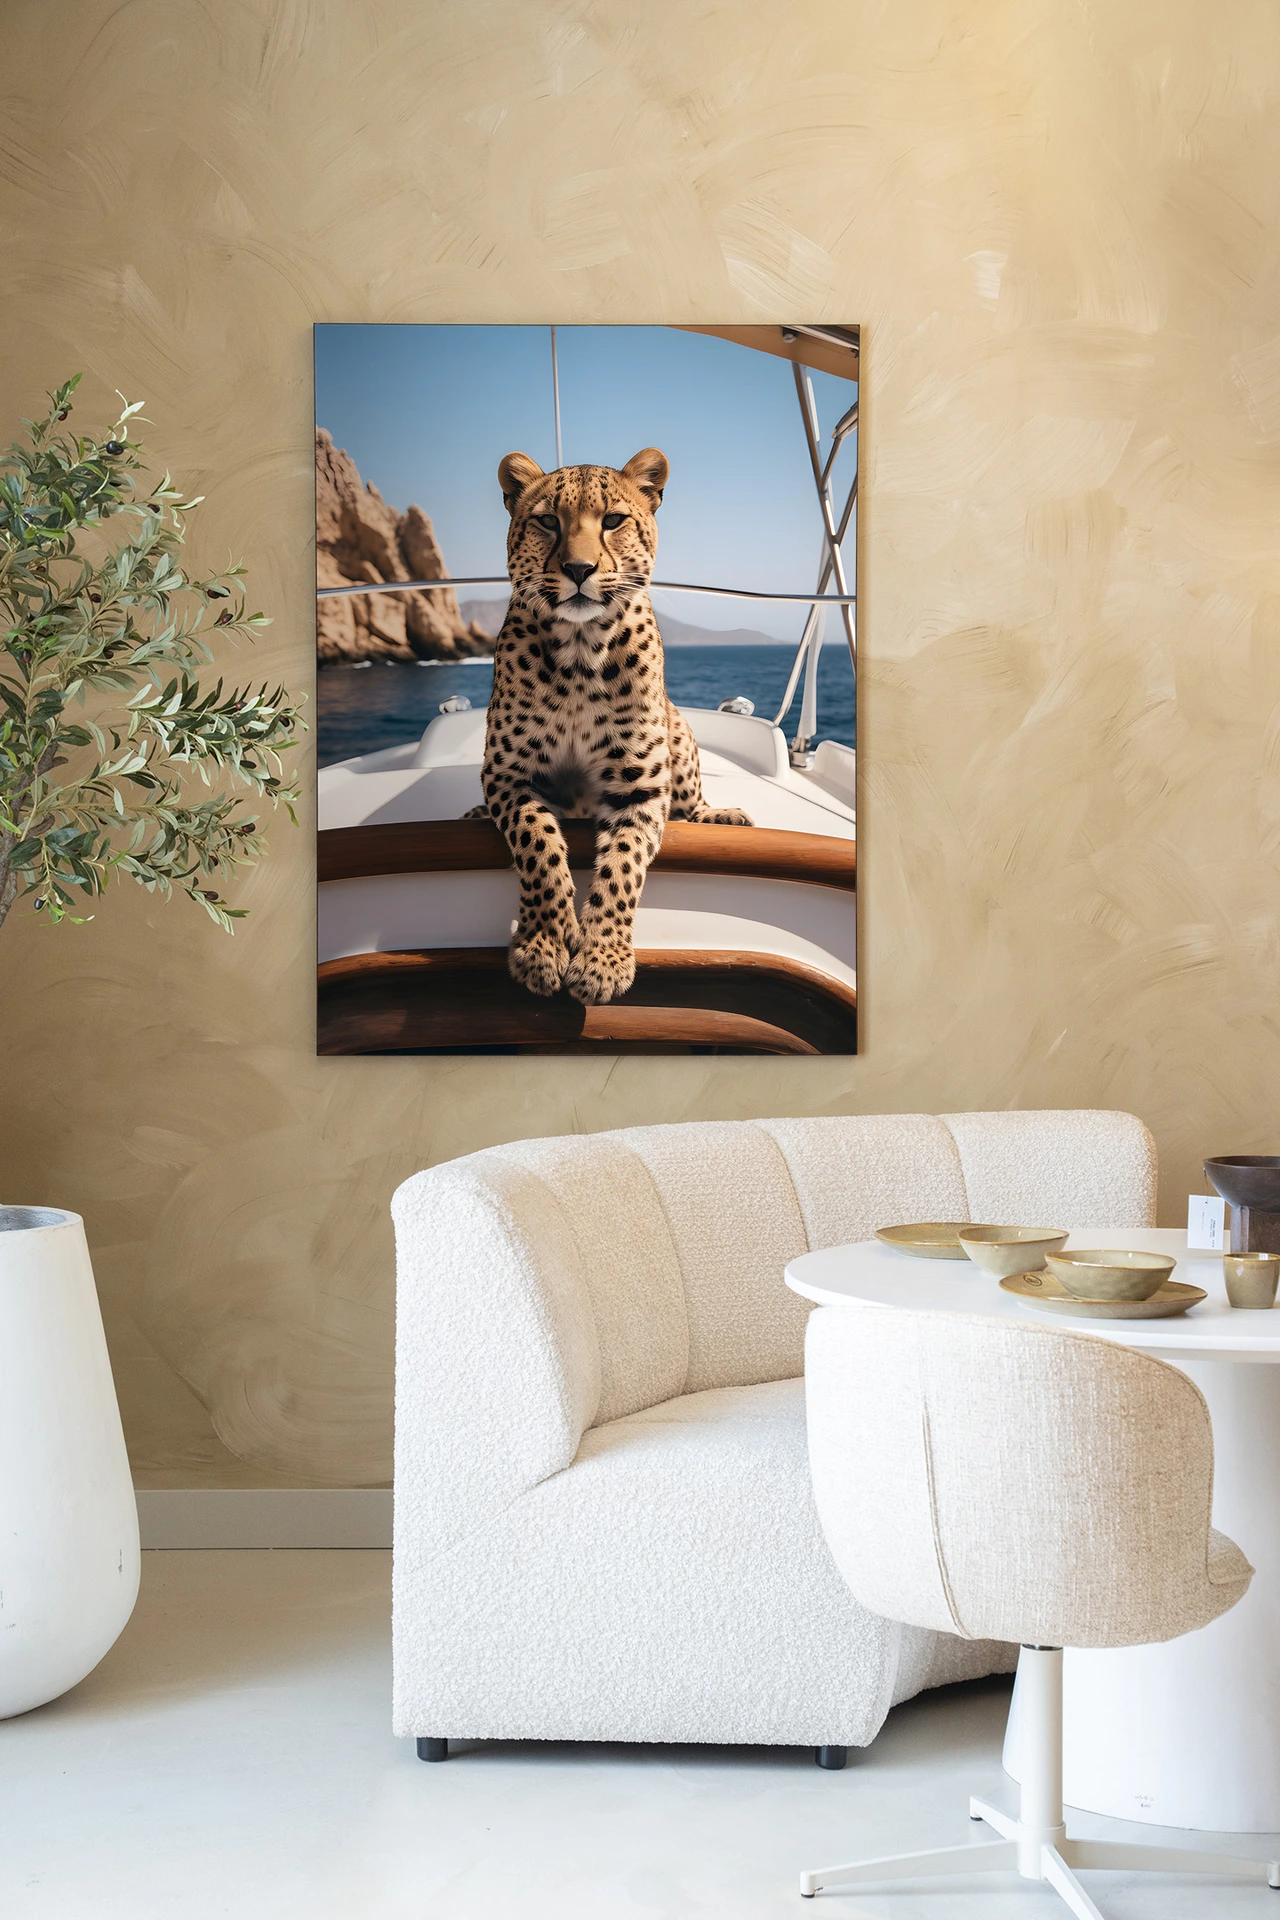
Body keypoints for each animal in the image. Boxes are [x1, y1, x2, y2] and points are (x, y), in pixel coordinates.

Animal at [463, 446, 752, 1006]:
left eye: (614, 521)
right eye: (548, 521)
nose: (579, 569)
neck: (580, 652)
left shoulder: (640, 786)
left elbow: (622, 867)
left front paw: (602, 961)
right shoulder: (508, 774)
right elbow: (539, 845)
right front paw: (545, 945)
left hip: (679, 731)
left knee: (690, 804)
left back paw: (721, 817)